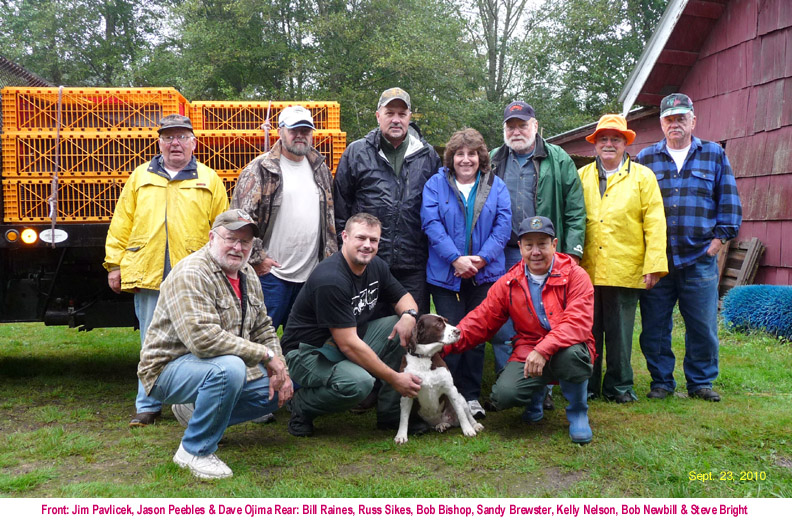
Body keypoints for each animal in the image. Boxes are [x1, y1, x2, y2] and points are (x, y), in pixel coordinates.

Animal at [394, 312, 482, 442]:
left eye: (446, 321)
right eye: (438, 324)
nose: (458, 331)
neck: (424, 358)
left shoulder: (451, 389)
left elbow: (461, 413)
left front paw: (468, 429)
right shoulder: (406, 391)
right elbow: (404, 418)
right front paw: (401, 436)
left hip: (460, 397)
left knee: (467, 413)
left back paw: (475, 425)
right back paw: (442, 425)